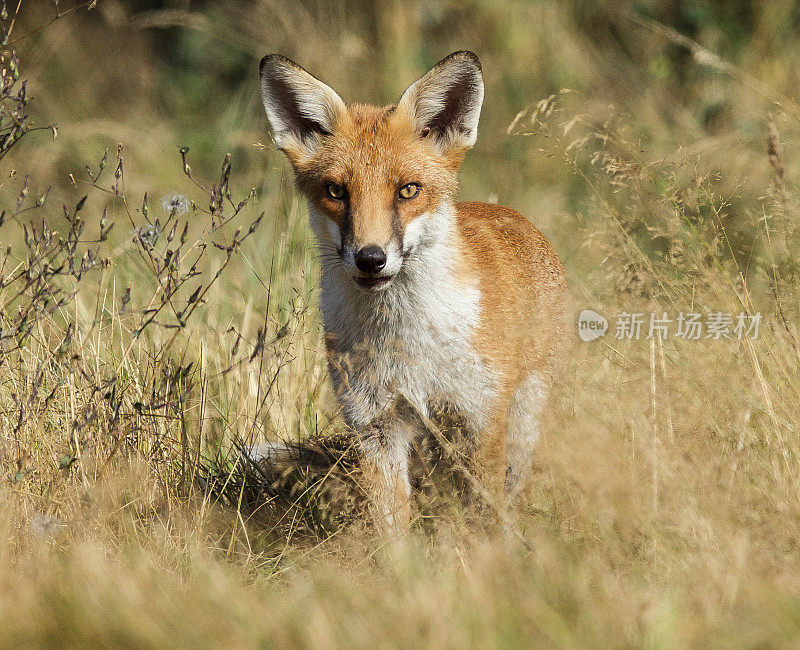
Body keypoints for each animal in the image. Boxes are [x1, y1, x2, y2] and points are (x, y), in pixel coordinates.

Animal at [260, 50, 564, 536]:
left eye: (407, 190)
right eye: (336, 191)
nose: (370, 258)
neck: (407, 344)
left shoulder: (480, 418)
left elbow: (483, 519)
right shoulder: (375, 425)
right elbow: (392, 529)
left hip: (521, 423)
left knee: (509, 496)